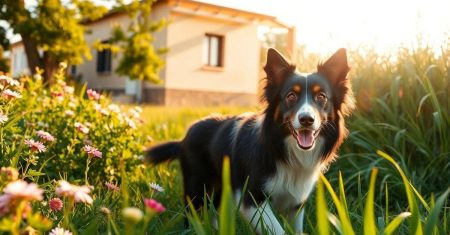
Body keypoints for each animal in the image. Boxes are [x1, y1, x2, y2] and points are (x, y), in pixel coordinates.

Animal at [146, 47, 354, 233]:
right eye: (291, 96)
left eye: (321, 96)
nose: (306, 120)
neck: (285, 151)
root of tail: (184, 136)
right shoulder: (252, 199)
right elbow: (278, 230)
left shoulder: (296, 204)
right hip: (197, 186)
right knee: (191, 212)